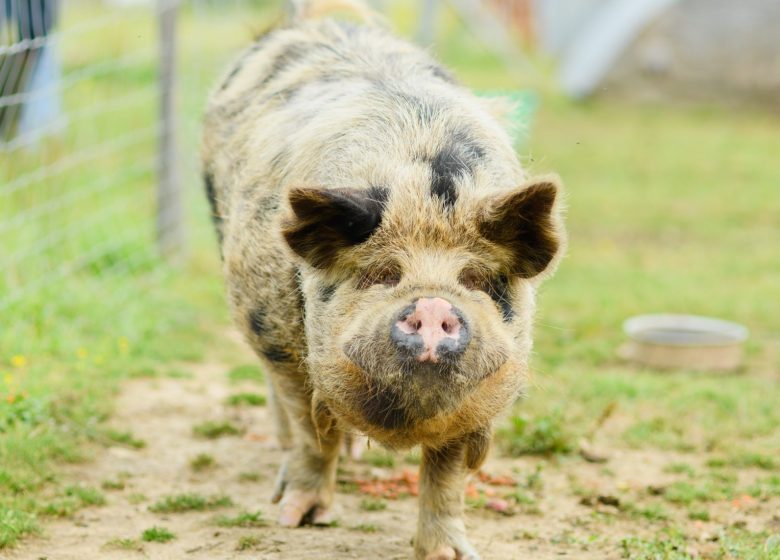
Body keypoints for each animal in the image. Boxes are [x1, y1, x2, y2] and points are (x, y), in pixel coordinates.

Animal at [204, 2, 564, 556]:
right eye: (381, 273)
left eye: (476, 279)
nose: (434, 305)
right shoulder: (276, 335)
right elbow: (313, 433)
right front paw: (295, 519)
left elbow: (448, 471)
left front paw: (449, 553)